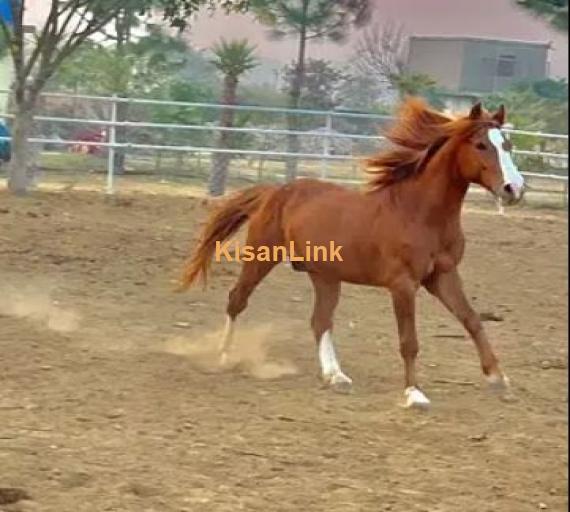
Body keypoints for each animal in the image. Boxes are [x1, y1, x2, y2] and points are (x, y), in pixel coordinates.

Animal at [179, 97, 524, 408]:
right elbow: (409, 341)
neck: (419, 214)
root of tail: (275, 191)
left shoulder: (443, 275)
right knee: (237, 299)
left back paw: (336, 376)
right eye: (480, 145)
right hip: (262, 257)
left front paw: (499, 379)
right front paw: (414, 394)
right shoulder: (403, 284)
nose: (514, 189)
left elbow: (471, 319)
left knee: (320, 320)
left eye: (508, 145)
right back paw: (224, 356)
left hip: (325, 276)